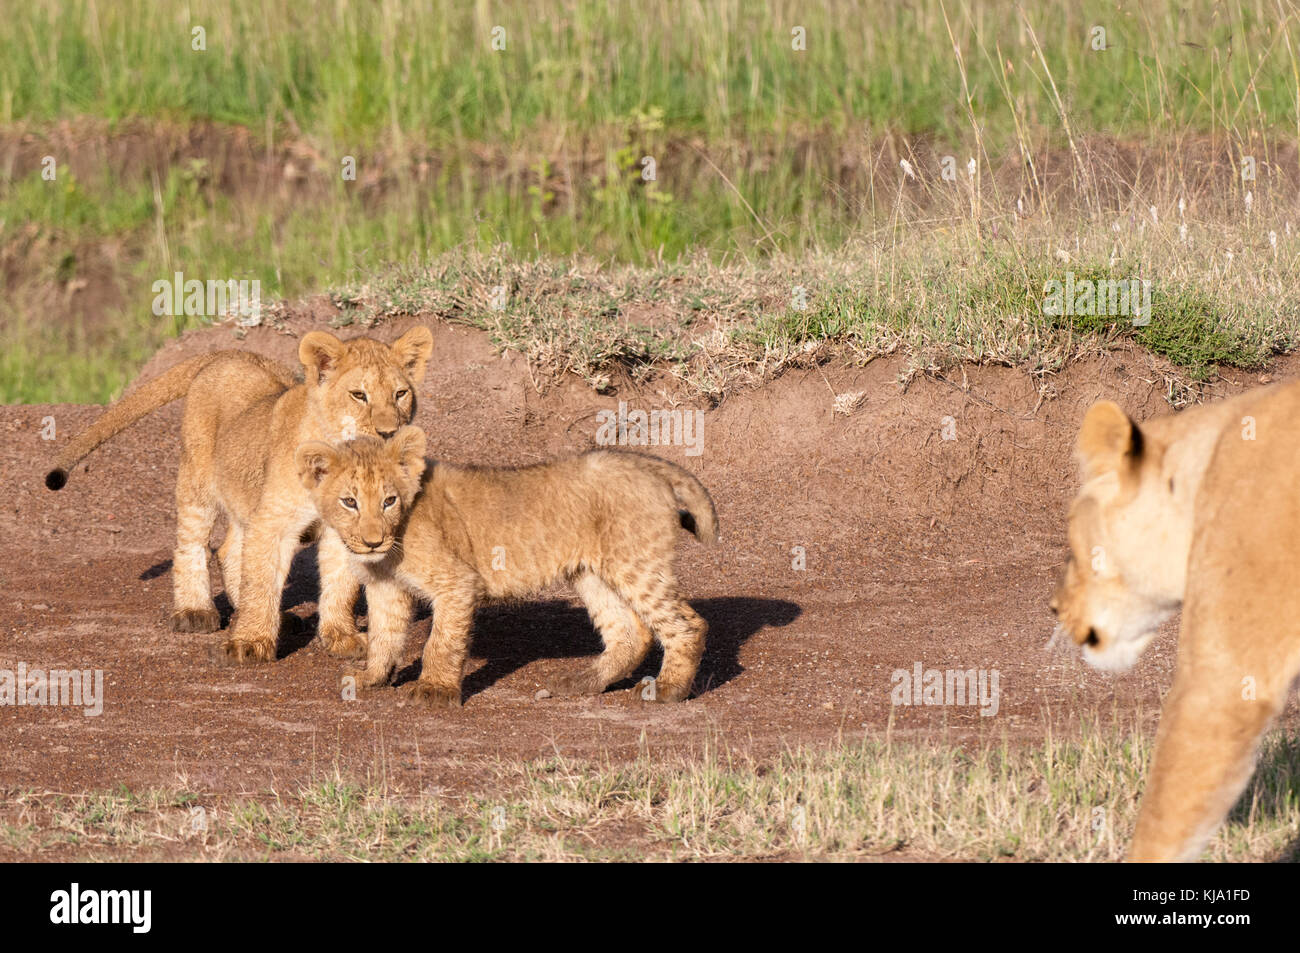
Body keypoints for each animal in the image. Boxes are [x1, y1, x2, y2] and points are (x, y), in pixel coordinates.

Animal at [45, 327, 434, 664]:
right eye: (358, 395)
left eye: (400, 394)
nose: (389, 432)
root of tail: (229, 353)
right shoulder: (274, 520)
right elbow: (260, 580)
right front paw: (250, 643)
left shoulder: (344, 527)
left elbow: (341, 584)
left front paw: (342, 637)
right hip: (197, 481)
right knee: (191, 544)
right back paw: (195, 611)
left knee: (230, 549)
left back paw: (274, 616)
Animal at [294, 426, 718, 708]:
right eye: (349, 502)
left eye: (388, 500)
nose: (372, 541)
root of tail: (649, 464)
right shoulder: (387, 588)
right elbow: (384, 637)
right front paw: (372, 679)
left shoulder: (457, 582)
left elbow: (441, 642)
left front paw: (434, 691)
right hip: (593, 574)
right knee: (630, 633)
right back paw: (582, 681)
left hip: (636, 564)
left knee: (688, 625)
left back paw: (667, 690)